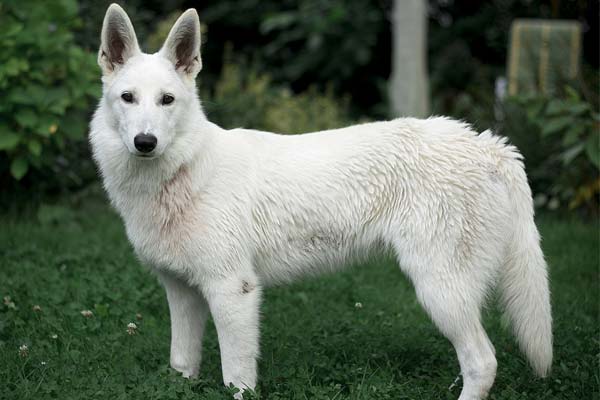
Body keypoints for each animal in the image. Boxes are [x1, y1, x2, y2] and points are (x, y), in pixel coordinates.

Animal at [90, 4, 552, 398]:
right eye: (128, 98)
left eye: (166, 100)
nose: (145, 142)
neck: (183, 171)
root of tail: (489, 144)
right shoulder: (182, 293)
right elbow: (181, 364)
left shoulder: (233, 291)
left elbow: (237, 377)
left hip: (440, 291)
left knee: (483, 362)